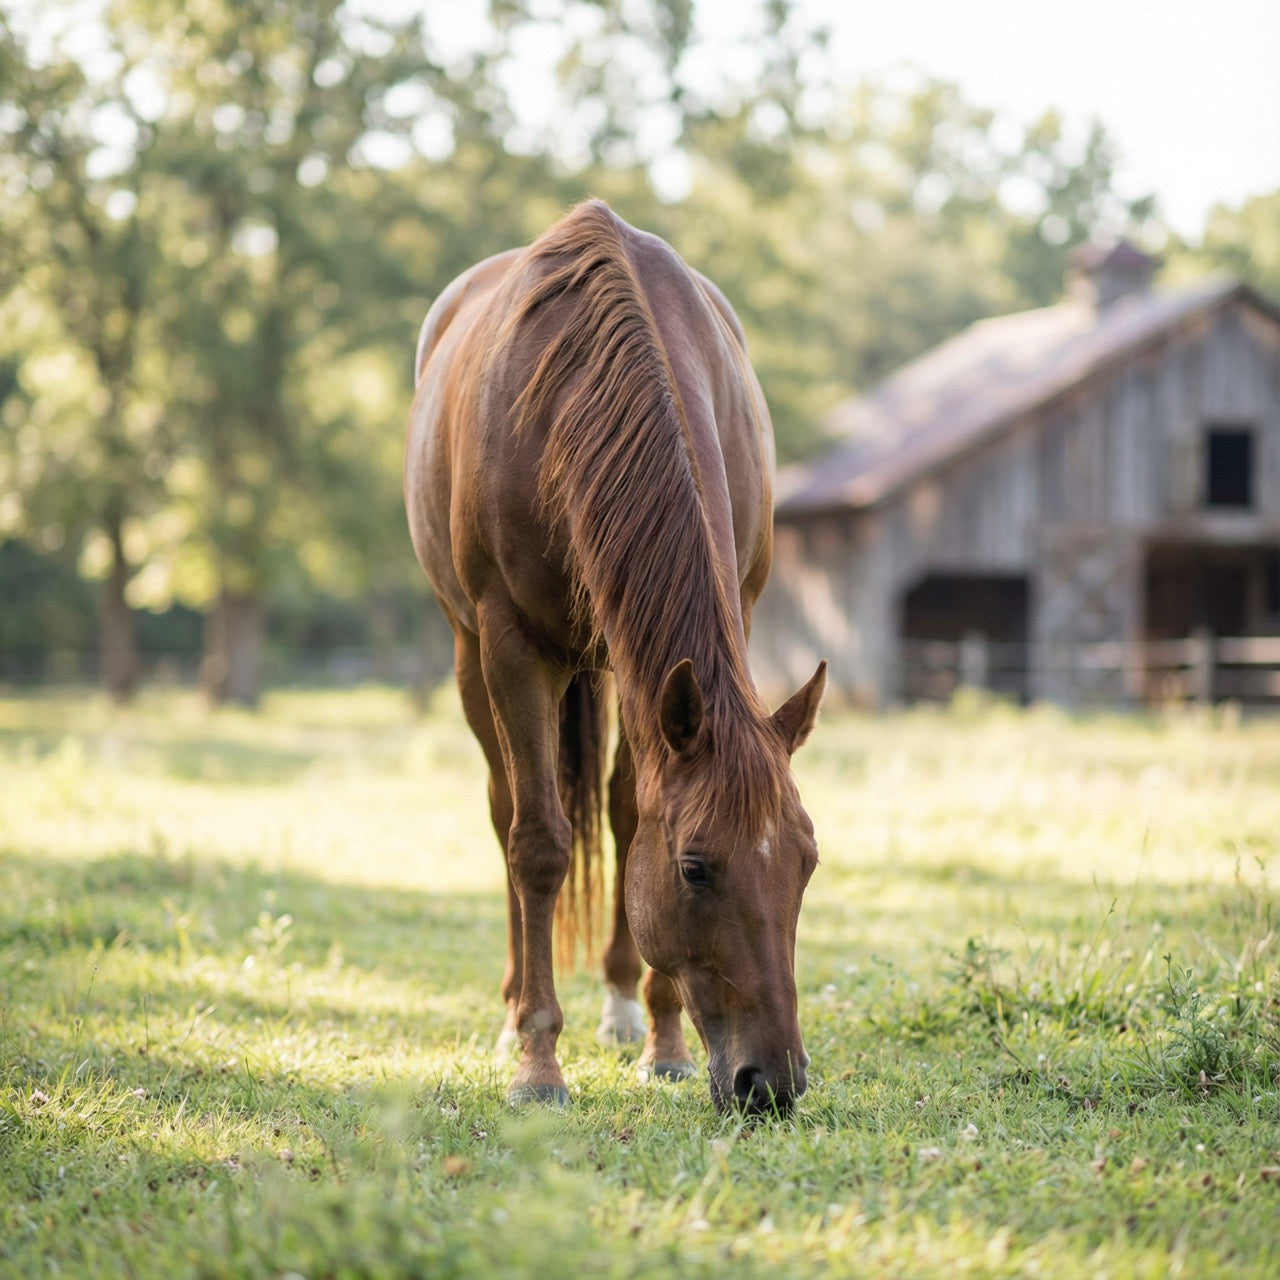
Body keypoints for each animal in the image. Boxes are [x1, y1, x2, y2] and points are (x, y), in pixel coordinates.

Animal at [404, 200, 826, 1114]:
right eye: (697, 870)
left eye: (807, 862)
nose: (771, 1083)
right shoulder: (511, 645)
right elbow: (538, 843)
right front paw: (537, 1061)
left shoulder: (688, 662)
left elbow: (633, 817)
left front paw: (661, 1038)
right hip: (469, 657)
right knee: (506, 809)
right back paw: (512, 1013)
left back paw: (623, 1009)